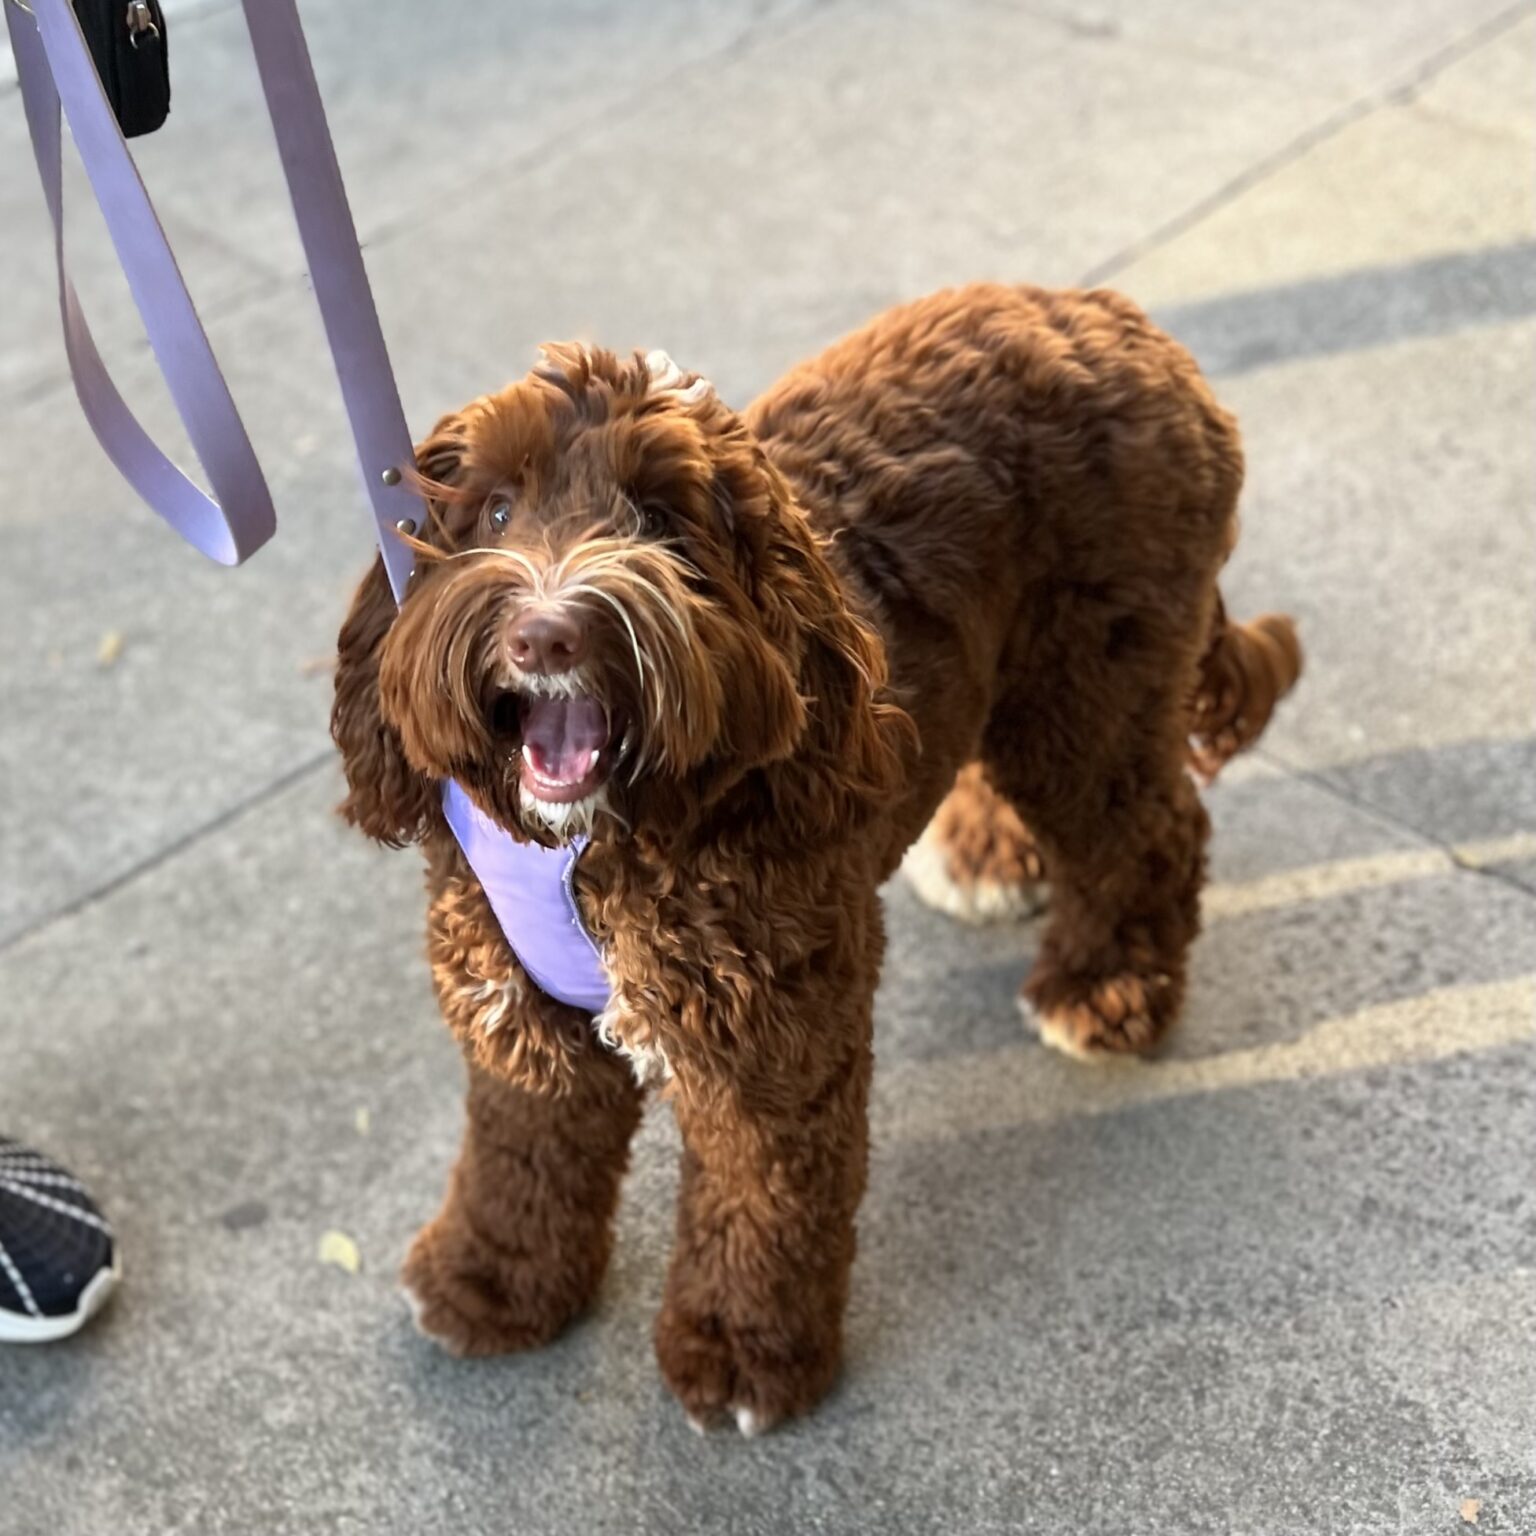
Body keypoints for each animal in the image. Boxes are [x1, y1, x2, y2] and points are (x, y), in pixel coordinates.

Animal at [330, 282, 1302, 1431]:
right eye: (492, 512)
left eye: (661, 520)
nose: (548, 633)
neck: (599, 848)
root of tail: (1117, 316)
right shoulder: (516, 1020)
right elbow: (520, 1155)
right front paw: (492, 1279)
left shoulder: (769, 1044)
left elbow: (764, 1201)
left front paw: (744, 1352)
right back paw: (989, 855)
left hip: (1091, 684)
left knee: (1150, 832)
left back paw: (1107, 988)